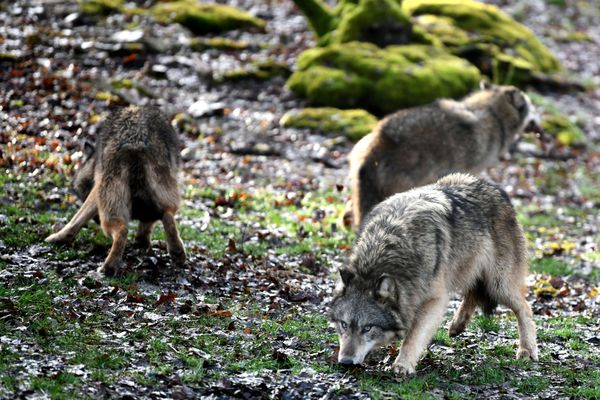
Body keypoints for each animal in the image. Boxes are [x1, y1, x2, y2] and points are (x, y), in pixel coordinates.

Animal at [46, 104, 186, 276]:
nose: (96, 221)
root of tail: (135, 140)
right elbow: (145, 228)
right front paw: (142, 244)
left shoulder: (96, 191)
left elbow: (75, 220)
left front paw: (56, 237)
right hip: (165, 196)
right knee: (167, 216)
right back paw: (177, 253)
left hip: (110, 212)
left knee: (122, 231)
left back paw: (108, 267)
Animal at [328, 174, 540, 376]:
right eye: (344, 325)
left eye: (367, 328)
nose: (345, 362)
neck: (388, 244)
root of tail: (496, 190)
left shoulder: (434, 300)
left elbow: (413, 336)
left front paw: (403, 365)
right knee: (473, 293)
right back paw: (457, 326)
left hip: (498, 285)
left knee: (524, 307)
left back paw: (527, 350)